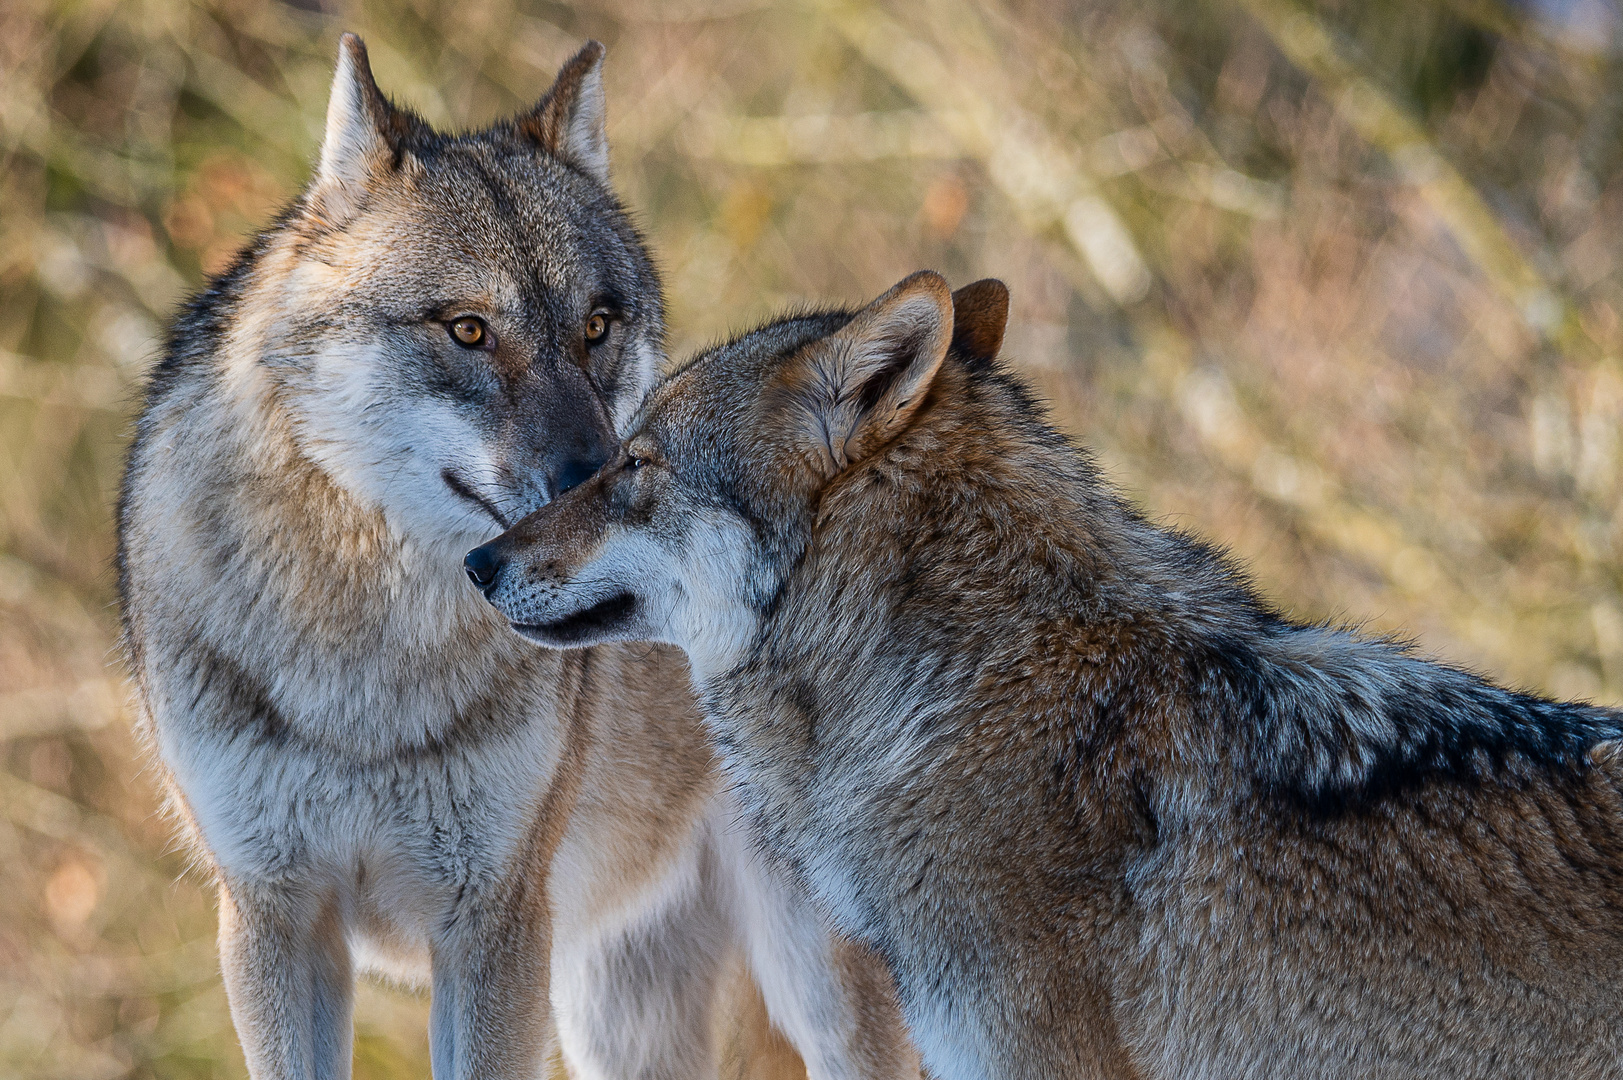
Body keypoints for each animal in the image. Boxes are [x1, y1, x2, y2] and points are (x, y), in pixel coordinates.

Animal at [120, 33, 921, 1078]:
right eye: (468, 328)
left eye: (596, 326)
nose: (606, 478)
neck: (369, 659)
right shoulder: (272, 922)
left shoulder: (494, 922)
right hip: (614, 1011)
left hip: (824, 987)